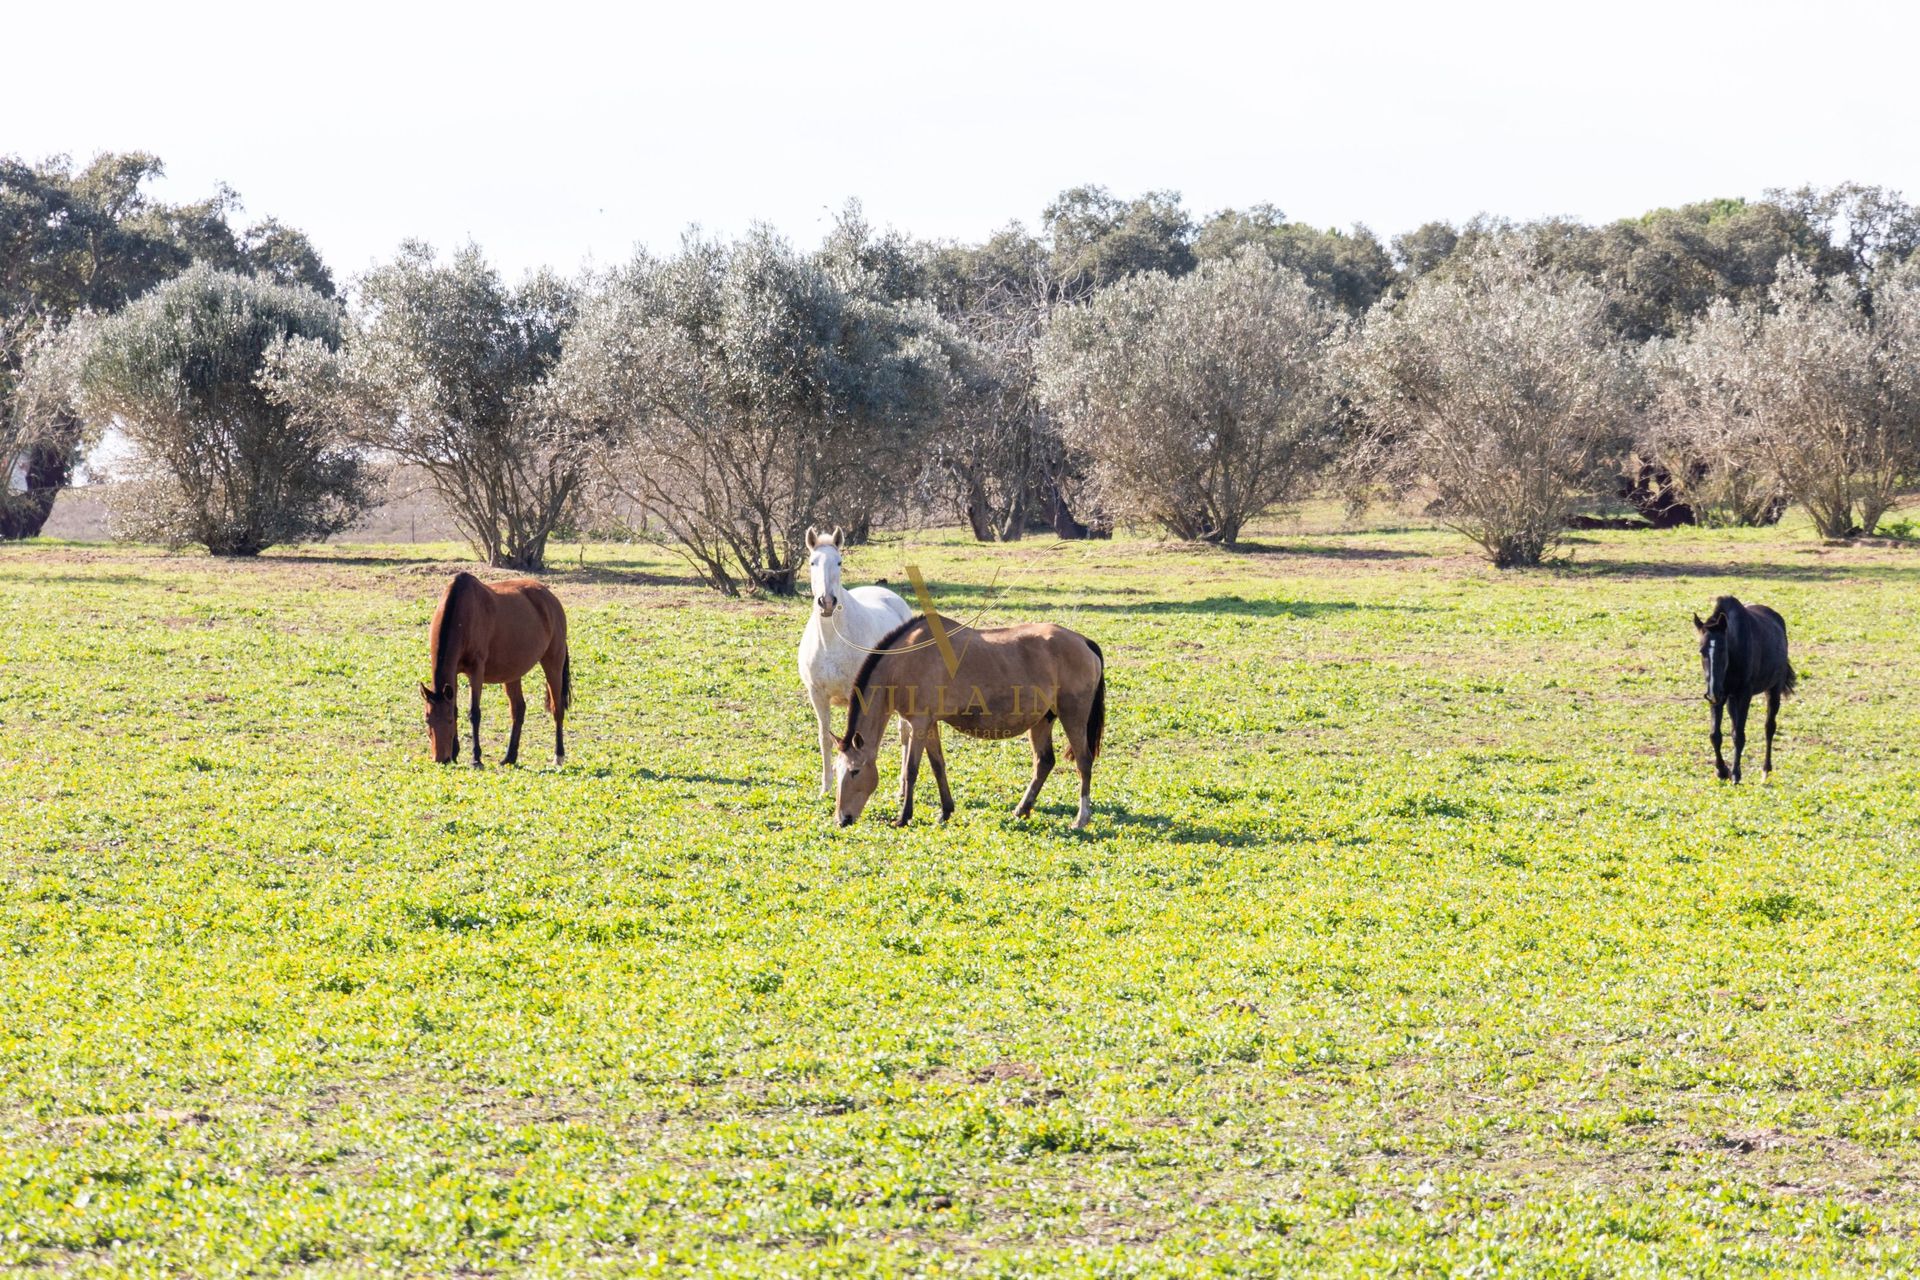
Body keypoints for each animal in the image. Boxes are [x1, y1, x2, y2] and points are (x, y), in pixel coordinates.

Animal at [420, 571, 568, 771]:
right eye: (427, 720)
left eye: (449, 720)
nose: (440, 758)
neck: (461, 612)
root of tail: (550, 599)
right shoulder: (455, 674)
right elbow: (456, 707)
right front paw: (455, 753)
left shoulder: (476, 671)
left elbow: (474, 713)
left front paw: (476, 759)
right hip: (513, 673)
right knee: (518, 709)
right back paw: (509, 757)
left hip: (553, 663)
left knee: (557, 708)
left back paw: (558, 756)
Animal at [794, 529, 913, 790]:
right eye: (812, 562)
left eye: (839, 562)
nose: (827, 602)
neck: (831, 641)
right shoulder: (817, 695)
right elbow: (824, 737)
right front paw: (826, 787)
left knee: (905, 732)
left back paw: (902, 784)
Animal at [1697, 598, 1797, 786]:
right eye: (1701, 650)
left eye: (1723, 649)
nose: (1712, 692)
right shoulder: (1719, 696)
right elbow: (1715, 735)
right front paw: (1722, 771)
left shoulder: (1744, 695)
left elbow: (1739, 735)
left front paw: (1736, 774)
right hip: (1730, 699)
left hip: (1773, 690)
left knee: (1769, 727)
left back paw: (1766, 770)